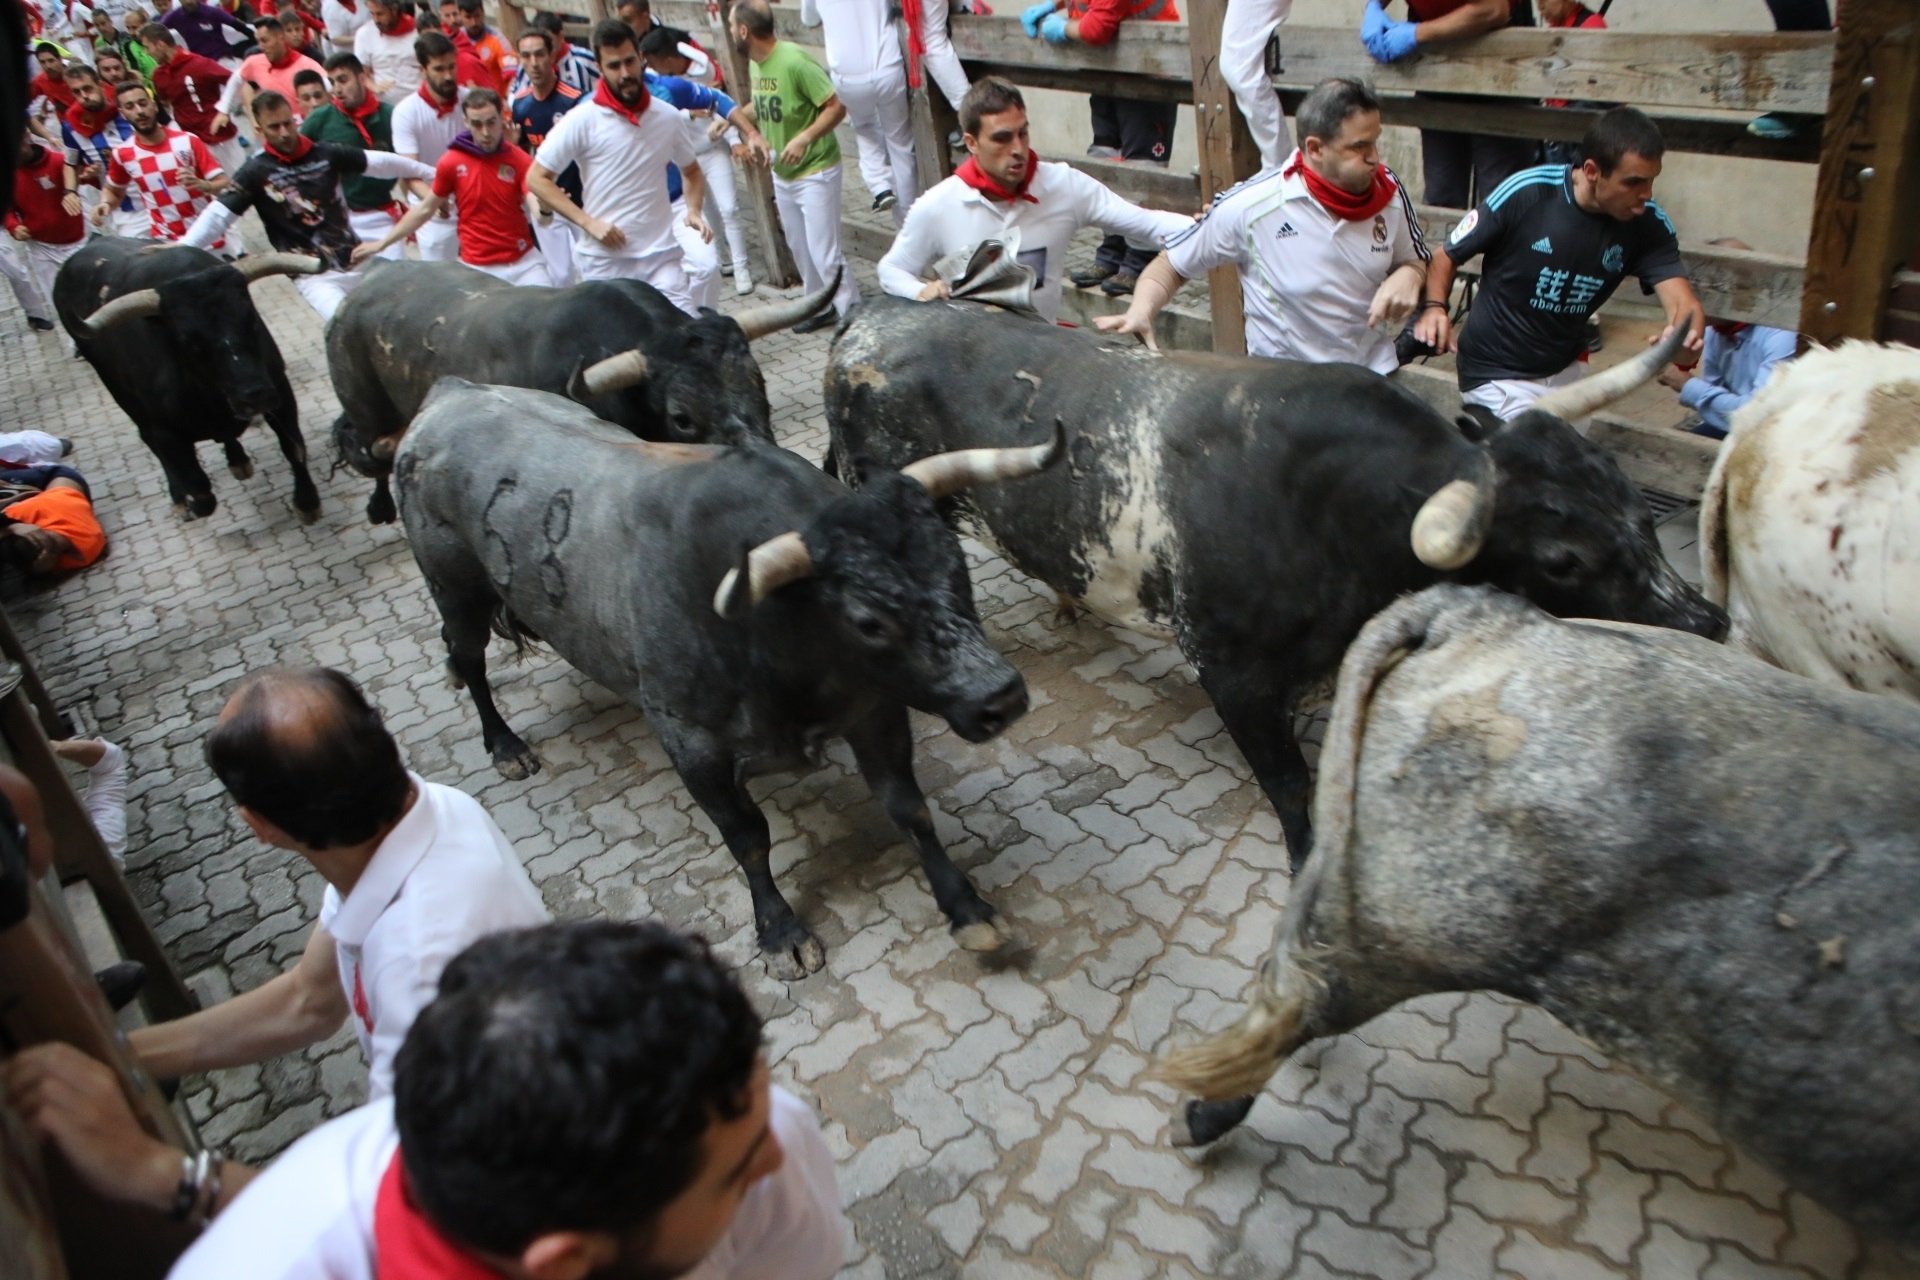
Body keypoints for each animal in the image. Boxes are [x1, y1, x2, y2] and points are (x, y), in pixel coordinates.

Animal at [326, 260, 837, 525]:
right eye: (682, 417)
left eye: (757, 382)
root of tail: (362, 288)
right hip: (368, 410)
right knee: (369, 448)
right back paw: (379, 506)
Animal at [825, 303, 1728, 871]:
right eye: (1562, 558)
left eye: (1630, 499)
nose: (1709, 622)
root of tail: (870, 316)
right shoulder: (1237, 678)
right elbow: (1294, 792)